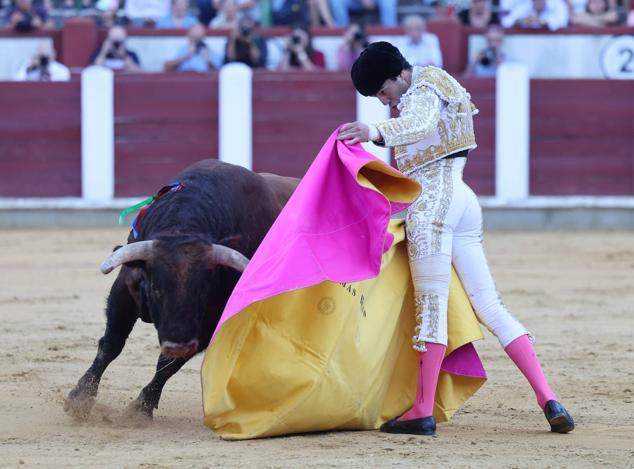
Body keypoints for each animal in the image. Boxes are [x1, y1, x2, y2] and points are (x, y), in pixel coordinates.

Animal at [65, 160, 298, 416]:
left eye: (203, 292)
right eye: (155, 288)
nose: (177, 345)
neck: (183, 228)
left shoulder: (210, 320)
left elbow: (168, 364)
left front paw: (141, 408)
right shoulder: (125, 288)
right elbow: (112, 343)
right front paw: (80, 398)